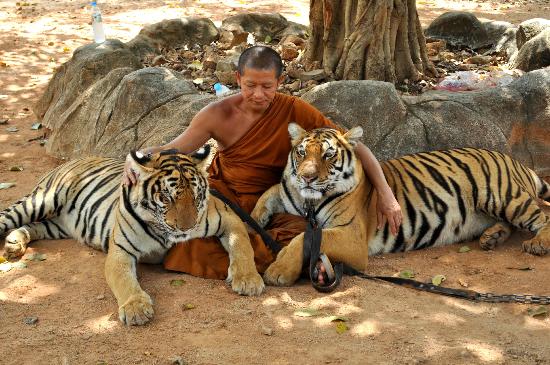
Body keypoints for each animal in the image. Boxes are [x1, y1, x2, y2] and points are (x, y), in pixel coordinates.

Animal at [1, 146, 266, 326]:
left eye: (196, 194)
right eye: (166, 197)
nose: (187, 228)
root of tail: (73, 160)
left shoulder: (230, 220)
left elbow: (243, 247)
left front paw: (248, 280)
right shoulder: (121, 250)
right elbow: (124, 280)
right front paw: (136, 308)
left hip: (56, 225)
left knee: (33, 226)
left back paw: (14, 243)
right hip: (42, 200)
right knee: (9, 216)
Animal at [251, 123, 550, 286]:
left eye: (328, 155)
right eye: (302, 152)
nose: (307, 177)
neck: (308, 201)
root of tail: (514, 160)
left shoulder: (351, 235)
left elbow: (303, 238)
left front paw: (278, 271)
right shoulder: (287, 193)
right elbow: (266, 196)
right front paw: (253, 222)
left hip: (503, 196)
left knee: (542, 217)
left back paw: (538, 243)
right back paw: (491, 237)